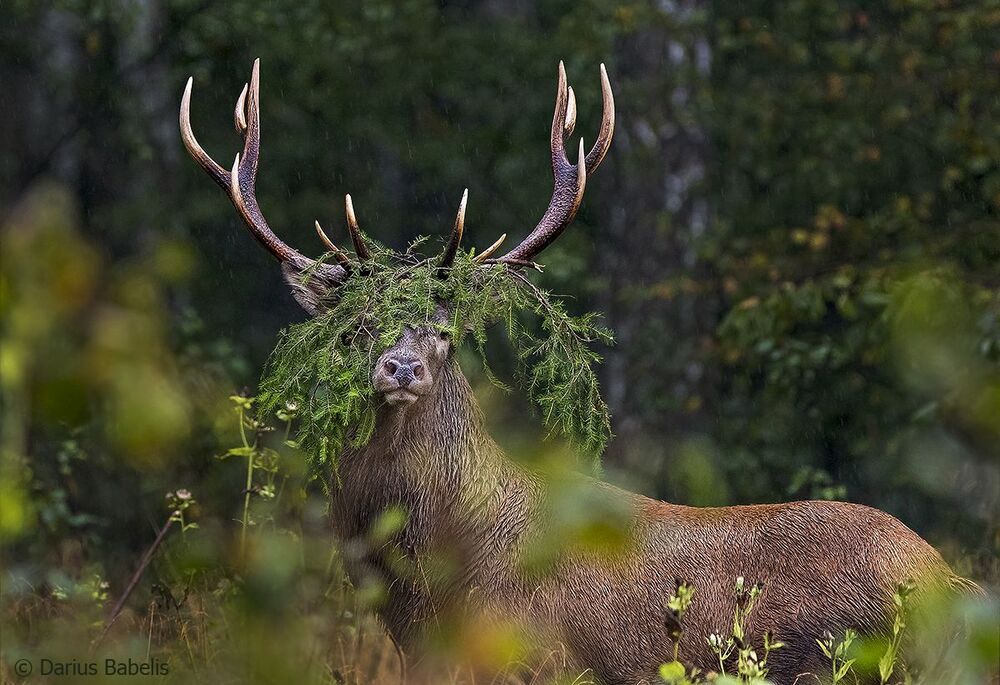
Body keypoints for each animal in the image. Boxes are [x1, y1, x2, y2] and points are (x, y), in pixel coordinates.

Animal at [179, 59, 979, 684]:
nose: (399, 367)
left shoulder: (534, 657)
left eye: (445, 329)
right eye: (354, 326)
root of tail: (951, 584)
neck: (428, 595)